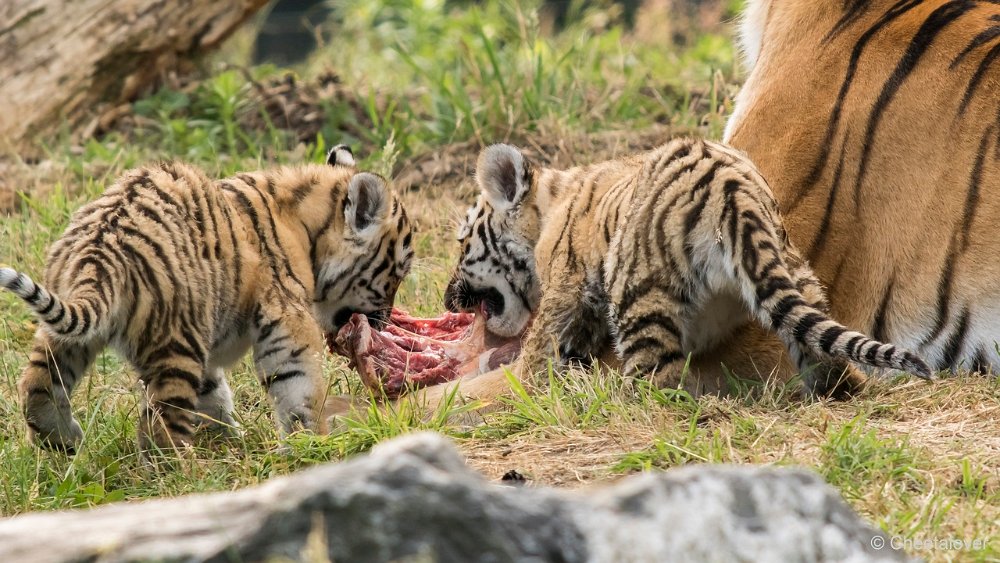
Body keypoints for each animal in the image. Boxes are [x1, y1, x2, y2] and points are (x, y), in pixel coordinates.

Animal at [0, 147, 414, 454]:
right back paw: (177, 479)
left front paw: (230, 443)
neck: (306, 225)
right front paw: (312, 447)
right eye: (397, 273)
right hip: (176, 342)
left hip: (67, 334)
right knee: (160, 428)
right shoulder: (285, 319)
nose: (383, 322)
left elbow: (213, 394)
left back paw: (61, 443)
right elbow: (298, 386)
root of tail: (98, 256)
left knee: (38, 382)